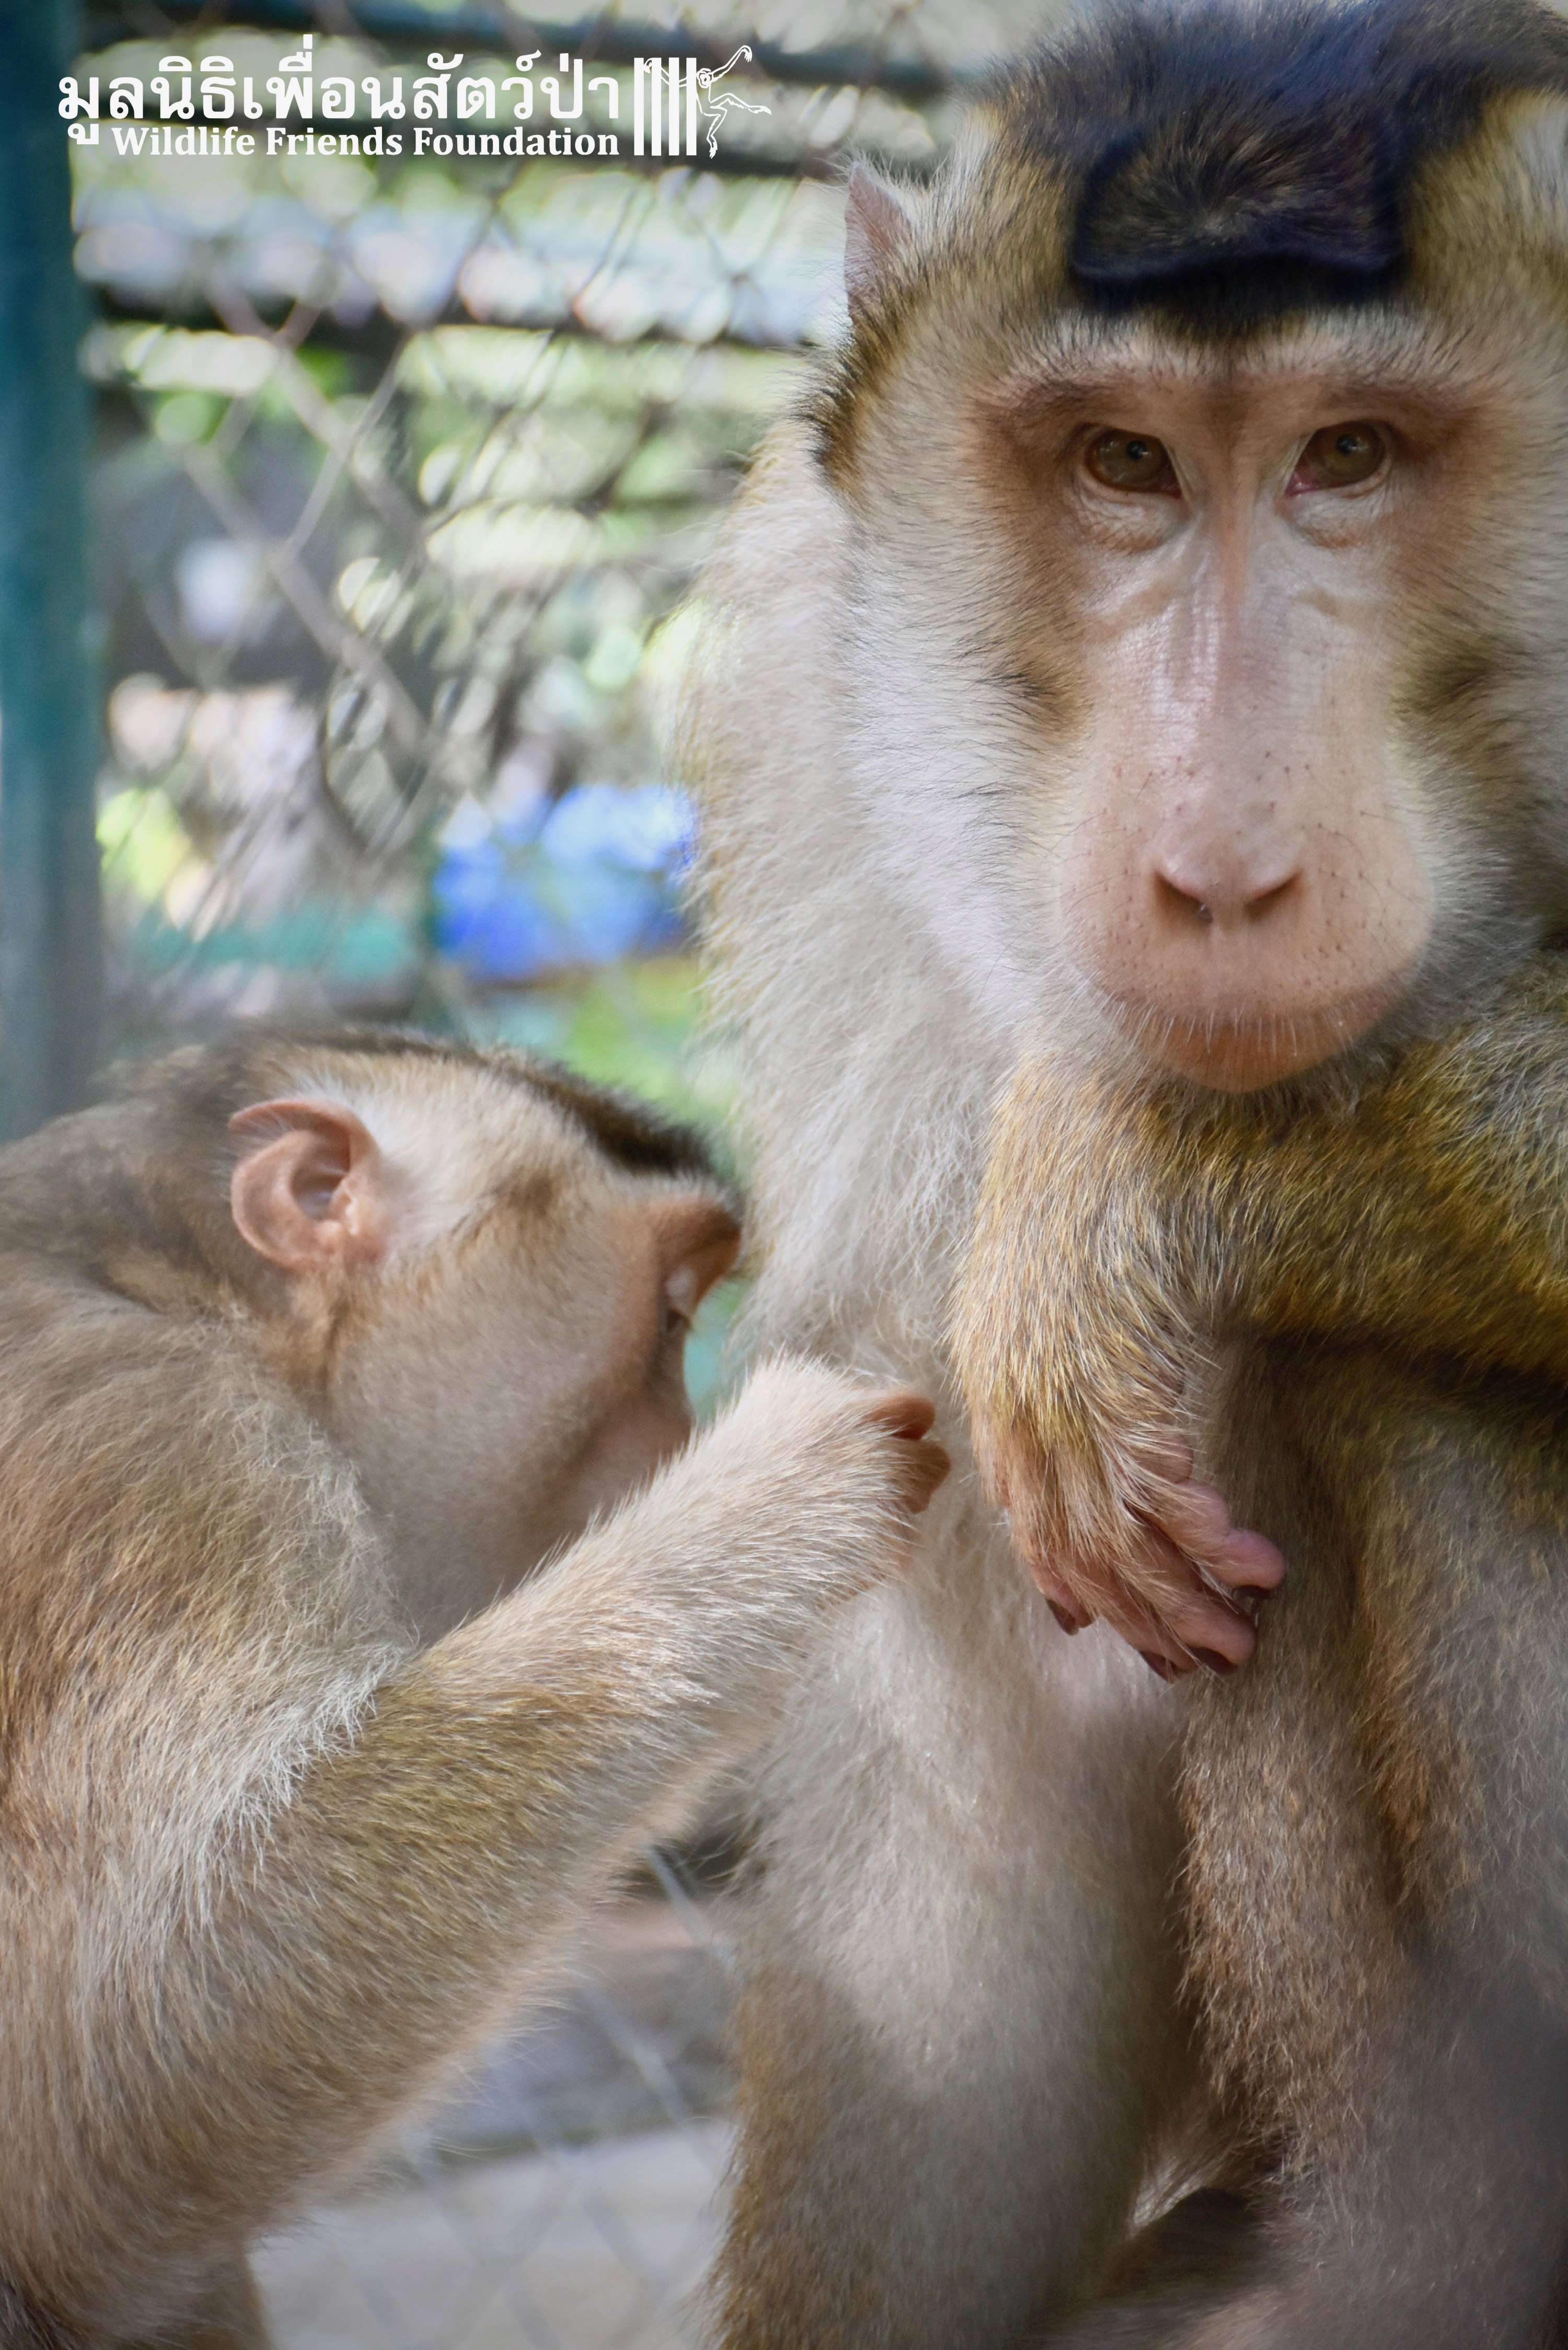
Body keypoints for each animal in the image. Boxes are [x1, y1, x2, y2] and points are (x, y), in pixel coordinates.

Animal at [0, 1028, 948, 2347]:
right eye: (668, 1315)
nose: (676, 1441)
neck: (174, 1288)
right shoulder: (153, 1449)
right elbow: (123, 2081)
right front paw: (781, 1495)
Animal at [676, 0, 1568, 2342]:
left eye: (1349, 454)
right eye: (1122, 467)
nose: (1217, 868)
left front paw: (1131, 1172)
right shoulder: (820, 692)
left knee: (1369, 1365)